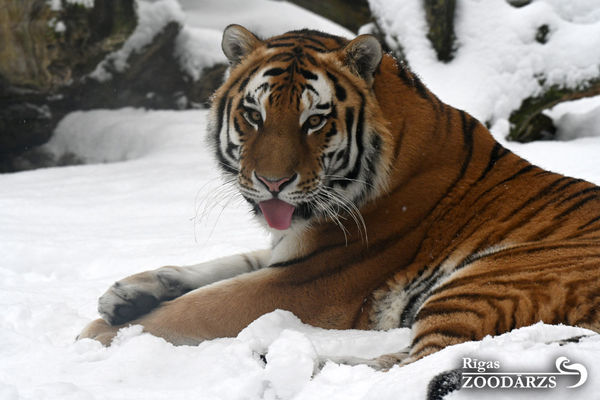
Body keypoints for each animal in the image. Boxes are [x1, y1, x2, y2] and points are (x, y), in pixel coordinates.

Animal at [79, 25, 600, 368]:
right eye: (254, 115)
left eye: (314, 120)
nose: (272, 182)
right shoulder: (286, 250)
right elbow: (219, 266)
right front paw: (124, 295)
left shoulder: (307, 280)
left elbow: (203, 303)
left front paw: (100, 334)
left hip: (489, 279)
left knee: (424, 363)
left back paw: (283, 358)